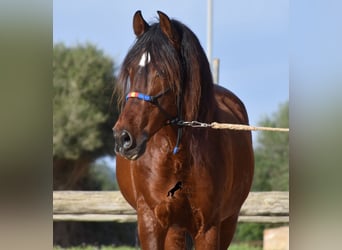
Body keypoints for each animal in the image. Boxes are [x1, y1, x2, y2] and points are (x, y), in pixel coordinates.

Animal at [113, 10, 254, 249]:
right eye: (130, 71)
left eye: (162, 72)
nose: (124, 137)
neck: (177, 155)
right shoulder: (150, 222)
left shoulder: (209, 228)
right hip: (174, 228)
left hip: (227, 221)